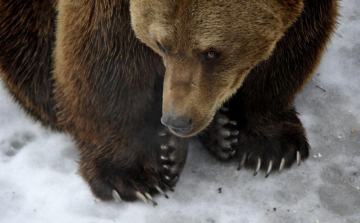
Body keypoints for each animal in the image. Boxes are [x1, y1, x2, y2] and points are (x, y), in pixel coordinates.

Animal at [0, 0, 338, 203]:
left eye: (211, 52)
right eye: (161, 44)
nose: (177, 120)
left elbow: (292, 43)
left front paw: (268, 147)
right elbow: (105, 56)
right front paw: (134, 174)